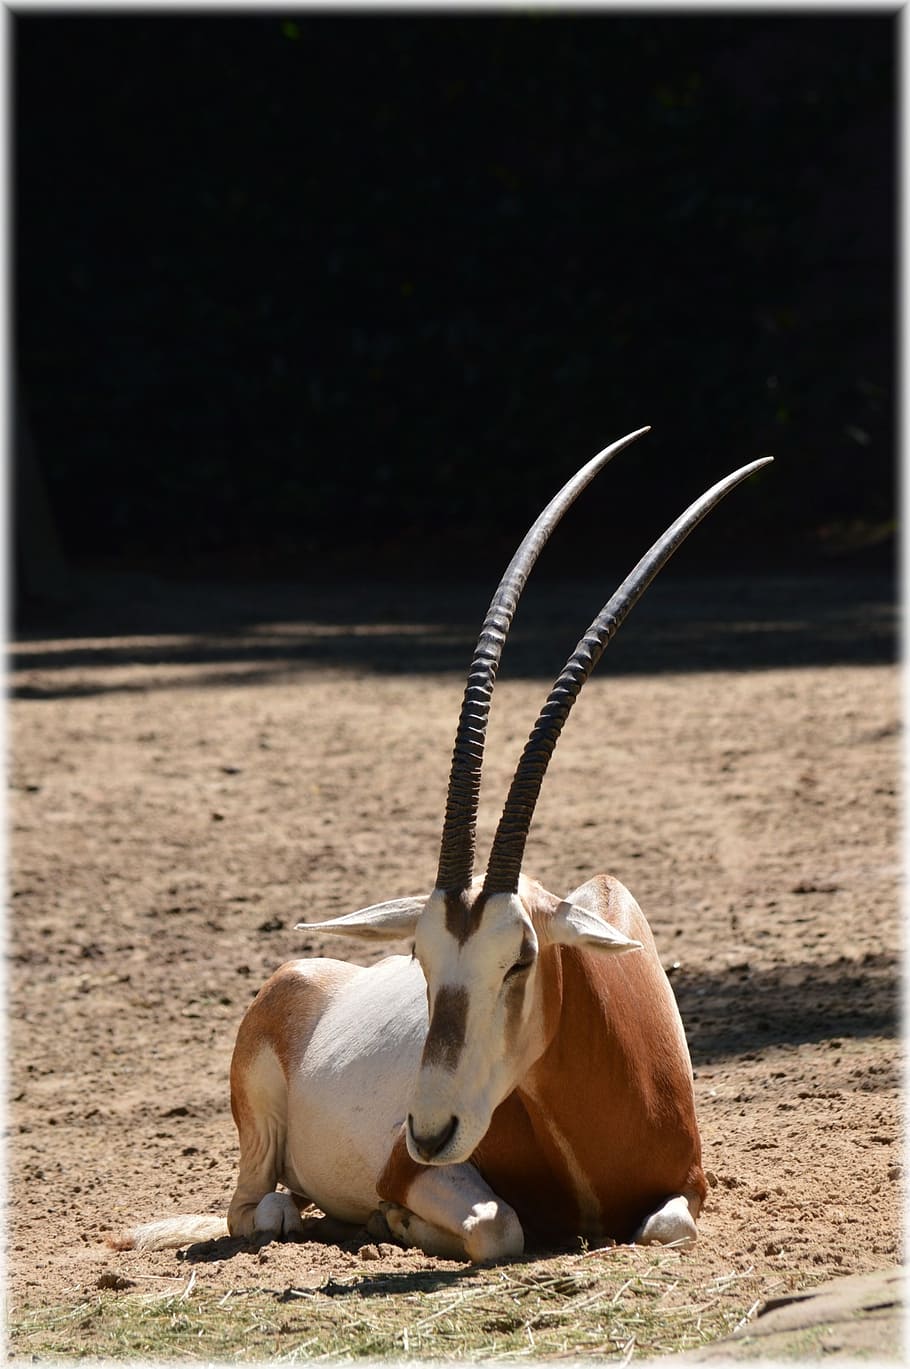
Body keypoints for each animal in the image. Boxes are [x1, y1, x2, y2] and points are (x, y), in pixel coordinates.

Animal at [116, 429, 771, 1263]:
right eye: (420, 958)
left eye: (520, 958)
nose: (429, 1130)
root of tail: (306, 973)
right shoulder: (415, 1172)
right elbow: (499, 1227)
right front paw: (396, 1222)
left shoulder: (687, 1184)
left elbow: (668, 1226)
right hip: (261, 1123)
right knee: (253, 1208)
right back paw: (304, 1215)